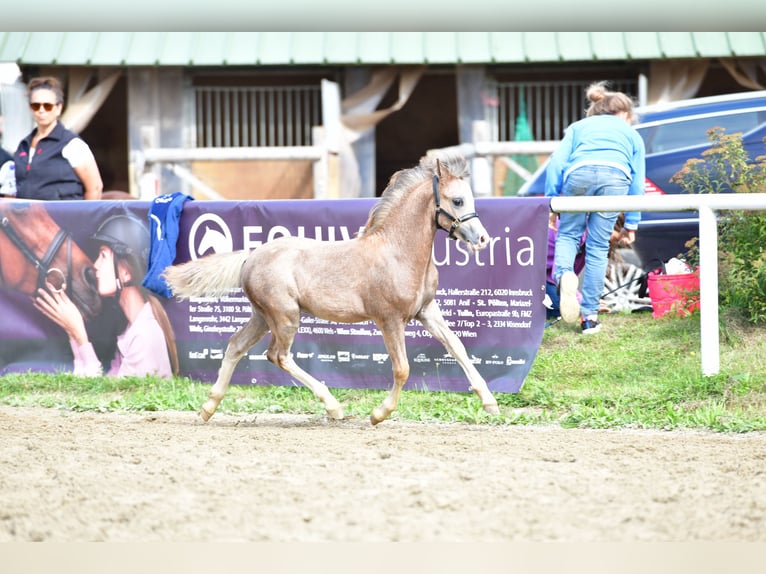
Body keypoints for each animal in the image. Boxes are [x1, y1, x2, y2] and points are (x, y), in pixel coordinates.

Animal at [163, 154, 500, 425]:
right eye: (457, 201)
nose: (483, 239)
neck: (397, 252)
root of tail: (250, 256)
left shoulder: (426, 311)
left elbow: (457, 346)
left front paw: (490, 403)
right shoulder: (390, 320)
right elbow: (402, 369)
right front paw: (378, 415)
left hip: (262, 316)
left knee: (236, 345)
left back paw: (207, 408)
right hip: (284, 316)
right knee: (278, 355)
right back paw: (333, 407)